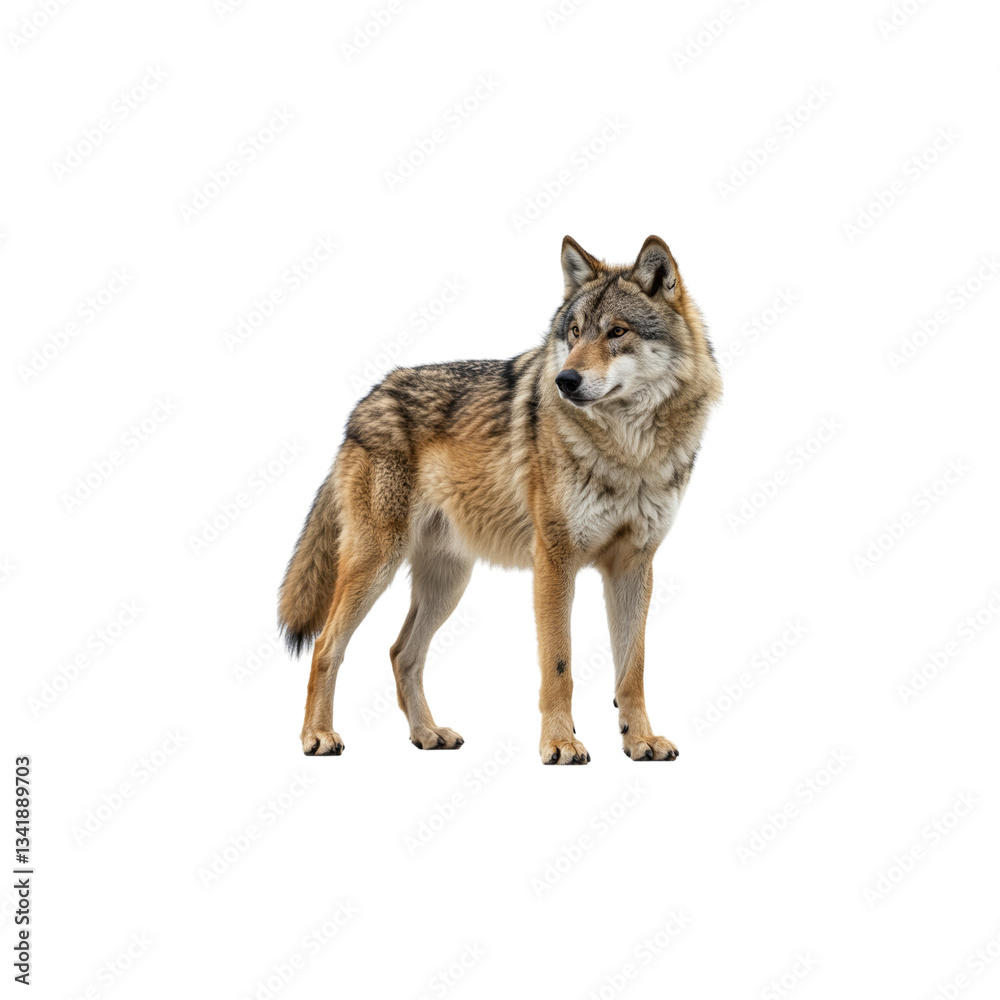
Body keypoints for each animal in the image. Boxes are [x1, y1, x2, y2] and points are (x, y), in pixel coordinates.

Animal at [278, 235, 721, 763]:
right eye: (574, 333)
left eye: (617, 332)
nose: (565, 381)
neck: (628, 452)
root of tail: (365, 402)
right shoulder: (555, 561)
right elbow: (559, 664)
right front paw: (561, 743)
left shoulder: (635, 564)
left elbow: (632, 669)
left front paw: (640, 741)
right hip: (376, 563)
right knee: (328, 645)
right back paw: (318, 736)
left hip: (448, 582)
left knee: (401, 652)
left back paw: (427, 734)